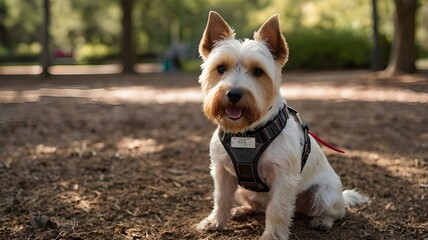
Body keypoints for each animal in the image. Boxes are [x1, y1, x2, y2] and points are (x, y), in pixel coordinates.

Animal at [197, 11, 368, 240]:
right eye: (221, 68)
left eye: (258, 71)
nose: (233, 94)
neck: (247, 133)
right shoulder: (222, 173)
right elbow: (221, 199)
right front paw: (215, 222)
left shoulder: (284, 178)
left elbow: (277, 209)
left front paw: (273, 235)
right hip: (243, 189)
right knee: (257, 206)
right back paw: (242, 210)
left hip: (323, 193)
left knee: (334, 212)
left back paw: (322, 221)